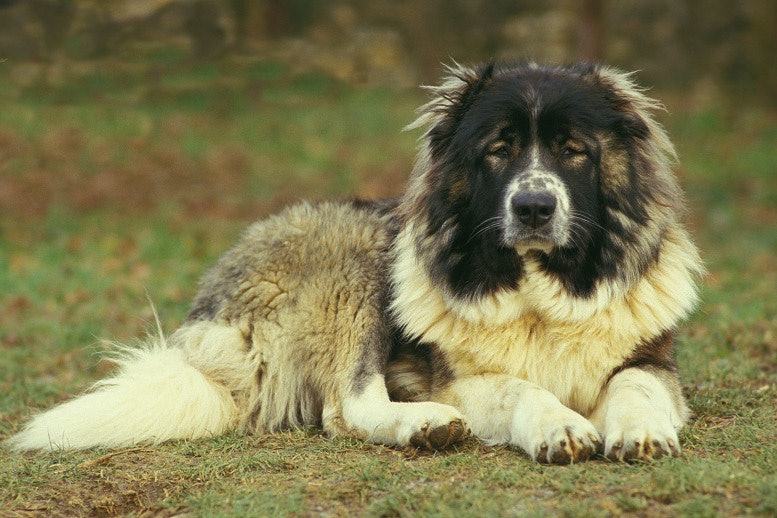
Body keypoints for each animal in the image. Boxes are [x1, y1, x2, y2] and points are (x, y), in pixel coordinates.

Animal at [10, 63, 704, 466]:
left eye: (572, 150)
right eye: (500, 150)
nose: (534, 207)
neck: (537, 292)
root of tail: (211, 309)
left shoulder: (652, 360)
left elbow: (635, 385)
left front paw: (640, 433)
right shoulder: (456, 379)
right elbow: (519, 387)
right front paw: (559, 426)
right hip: (361, 257)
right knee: (347, 409)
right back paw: (424, 427)